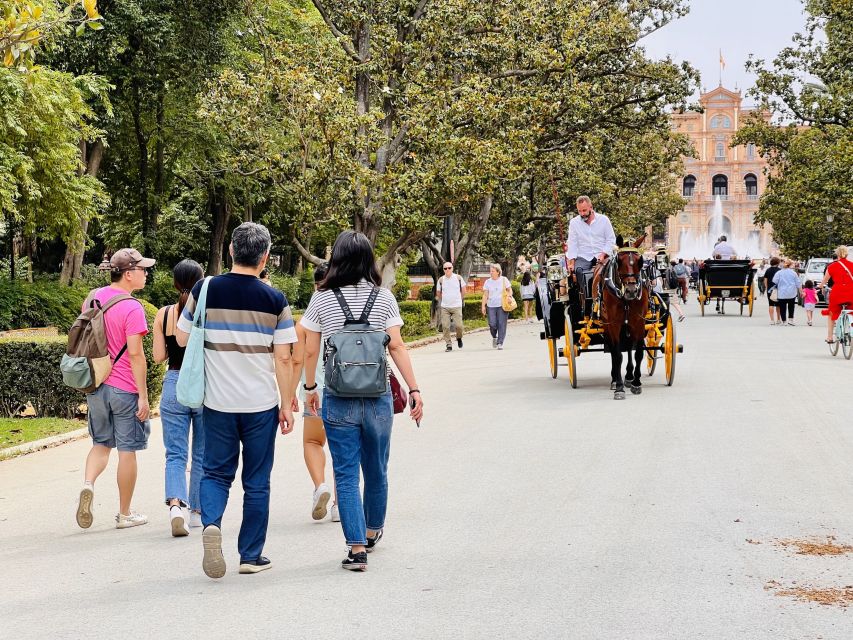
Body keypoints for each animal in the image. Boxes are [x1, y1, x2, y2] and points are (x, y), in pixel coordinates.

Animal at [596, 240, 648, 400]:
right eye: (619, 261)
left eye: (640, 261)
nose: (631, 290)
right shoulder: (614, 323)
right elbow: (618, 355)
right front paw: (619, 388)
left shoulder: (639, 321)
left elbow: (638, 353)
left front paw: (636, 383)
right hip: (607, 324)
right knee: (614, 351)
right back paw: (615, 380)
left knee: (629, 347)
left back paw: (629, 376)